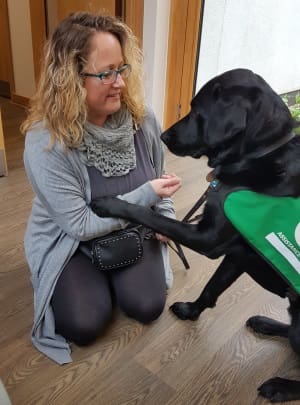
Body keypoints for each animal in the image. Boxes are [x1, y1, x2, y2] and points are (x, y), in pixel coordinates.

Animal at [92, 69, 300, 400]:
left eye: (197, 110)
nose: (164, 136)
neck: (261, 154)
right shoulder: (236, 254)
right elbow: (212, 288)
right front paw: (191, 311)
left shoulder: (209, 239)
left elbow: (149, 215)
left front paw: (111, 203)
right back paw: (265, 322)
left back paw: (280, 386)